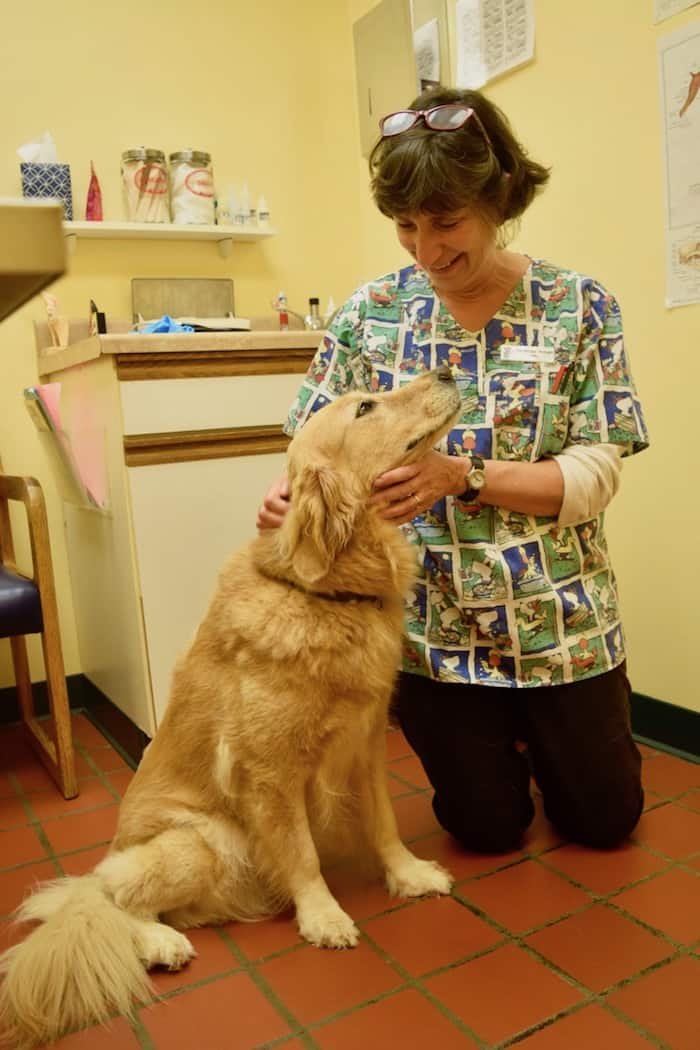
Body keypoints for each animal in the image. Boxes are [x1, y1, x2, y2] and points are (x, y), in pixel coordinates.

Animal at [0, 365, 461, 1045]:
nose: (448, 369)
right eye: (364, 407)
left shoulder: (367, 741)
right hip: (200, 842)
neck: (327, 596)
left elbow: (383, 823)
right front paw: (323, 915)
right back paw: (159, 943)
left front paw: (407, 875)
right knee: (108, 902)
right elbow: (300, 853)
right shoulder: (268, 772)